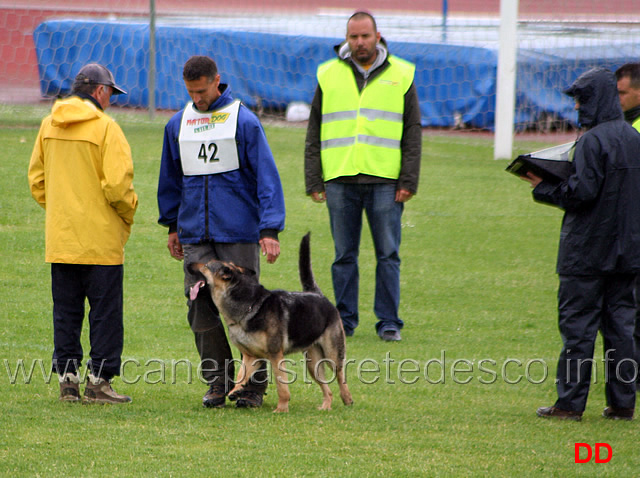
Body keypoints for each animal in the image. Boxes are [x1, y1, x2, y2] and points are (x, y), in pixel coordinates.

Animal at [190, 233, 352, 412]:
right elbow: (241, 375)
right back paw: (326, 406)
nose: (188, 264)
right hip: (313, 364)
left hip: (332, 355)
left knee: (341, 375)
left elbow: (282, 387)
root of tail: (318, 295)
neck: (248, 304)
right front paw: (235, 391)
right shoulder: (251, 357)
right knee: (327, 389)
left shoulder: (275, 356)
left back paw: (347, 399)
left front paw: (281, 409)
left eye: (206, 265)